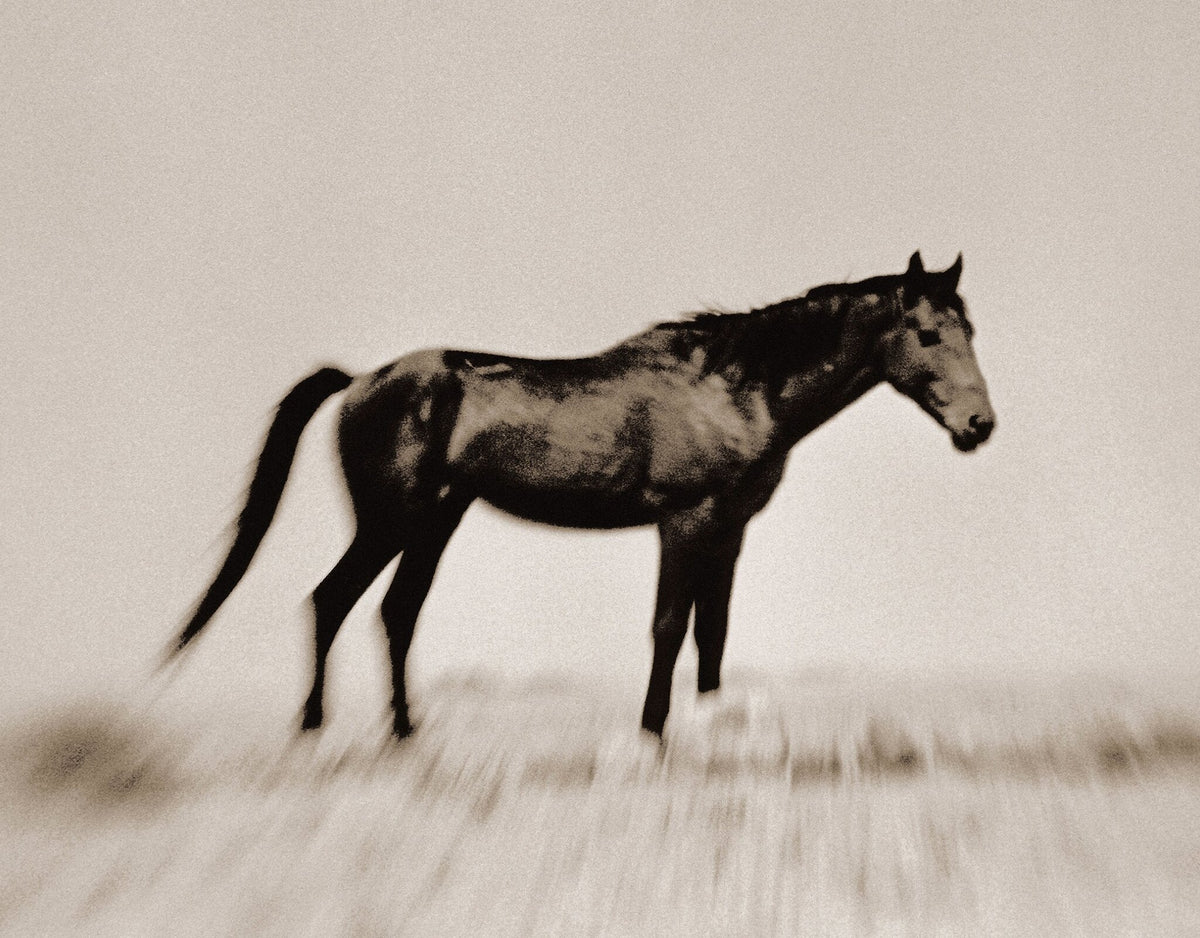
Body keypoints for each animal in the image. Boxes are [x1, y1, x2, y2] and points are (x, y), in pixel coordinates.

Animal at [168, 251, 995, 740]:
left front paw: (713, 724)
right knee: (331, 599)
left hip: (435, 519)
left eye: (971, 330)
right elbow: (670, 625)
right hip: (389, 520)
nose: (979, 425)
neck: (732, 385)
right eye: (926, 333)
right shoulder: (682, 520)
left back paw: (406, 733)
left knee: (395, 612)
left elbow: (714, 629)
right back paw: (315, 731)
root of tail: (364, 378)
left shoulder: (730, 529)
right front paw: (653, 732)